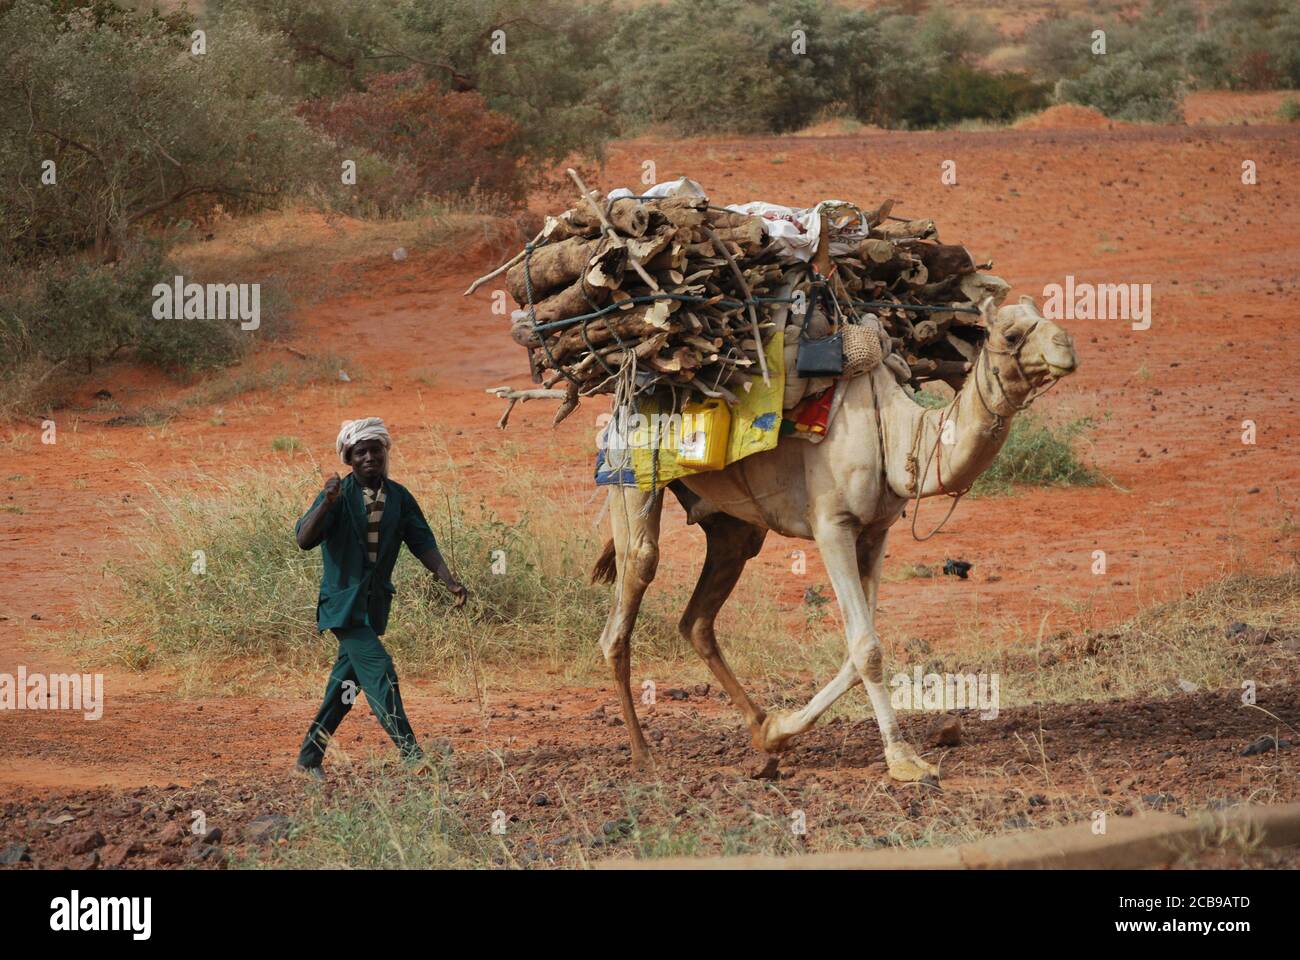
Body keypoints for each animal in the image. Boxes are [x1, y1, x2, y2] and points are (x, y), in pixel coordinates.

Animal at [590, 295, 1076, 780]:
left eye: (1047, 320)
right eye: (1009, 334)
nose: (1066, 346)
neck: (895, 434)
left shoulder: (876, 531)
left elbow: (859, 649)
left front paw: (779, 731)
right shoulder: (832, 526)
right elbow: (867, 648)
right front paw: (903, 759)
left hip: (733, 526)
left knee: (699, 617)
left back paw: (758, 726)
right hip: (629, 470)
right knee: (631, 589)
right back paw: (642, 754)